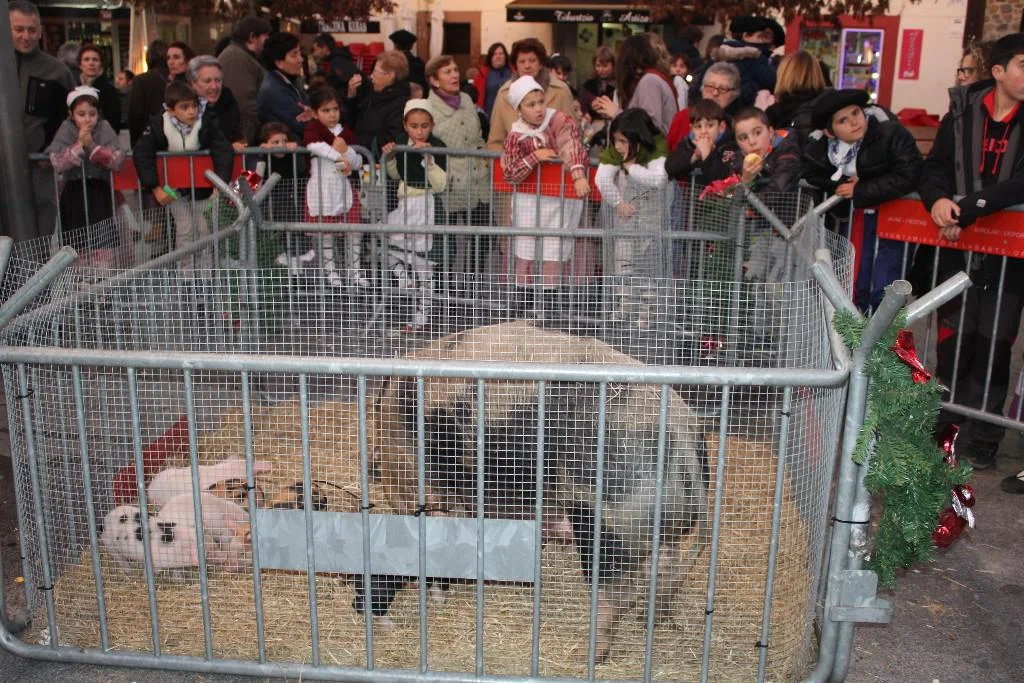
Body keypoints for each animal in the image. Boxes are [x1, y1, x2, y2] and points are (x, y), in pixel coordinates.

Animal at [370, 321, 709, 661]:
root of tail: (683, 438)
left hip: (607, 519)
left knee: (618, 589)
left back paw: (589, 653)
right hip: (655, 524)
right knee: (664, 566)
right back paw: (653, 618)